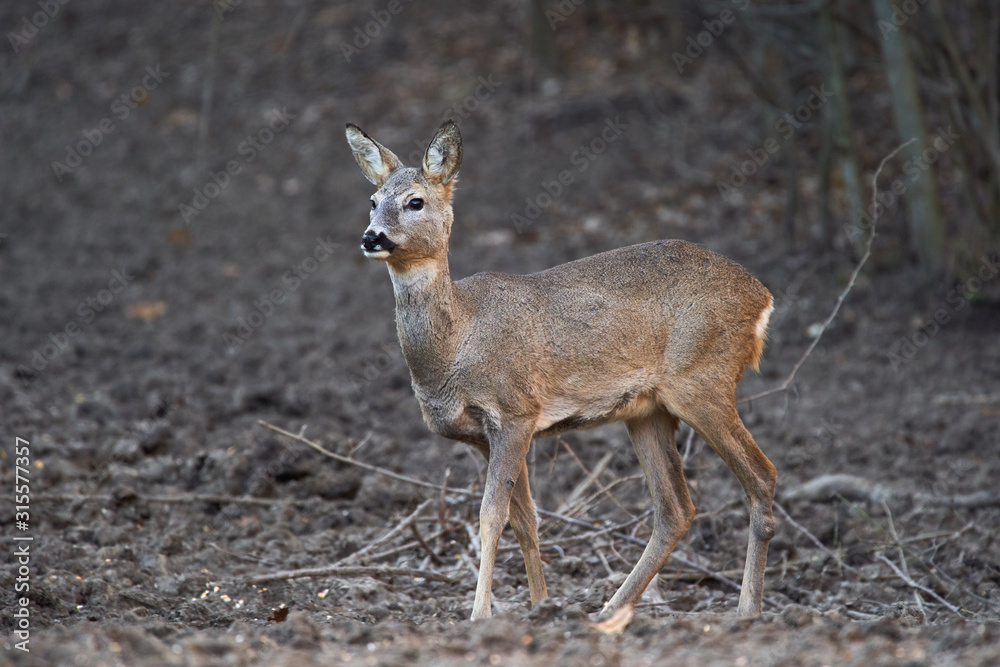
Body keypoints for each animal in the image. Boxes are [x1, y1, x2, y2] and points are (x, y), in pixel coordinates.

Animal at [348, 118, 776, 620]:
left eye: (415, 201)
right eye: (373, 200)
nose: (371, 236)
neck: (456, 343)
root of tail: (763, 297)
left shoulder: (515, 410)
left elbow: (490, 516)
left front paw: (480, 615)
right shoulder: (484, 435)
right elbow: (524, 519)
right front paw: (541, 605)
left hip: (702, 379)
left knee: (761, 475)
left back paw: (746, 609)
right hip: (648, 411)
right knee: (676, 508)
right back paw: (611, 610)